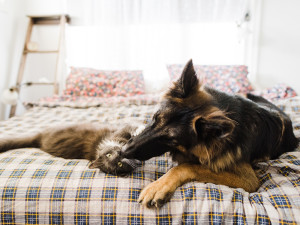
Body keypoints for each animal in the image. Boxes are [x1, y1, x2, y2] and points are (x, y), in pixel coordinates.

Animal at [121, 59, 298, 207]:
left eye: (170, 140)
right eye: (155, 118)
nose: (123, 151)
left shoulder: (248, 179)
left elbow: (186, 166)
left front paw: (159, 186)